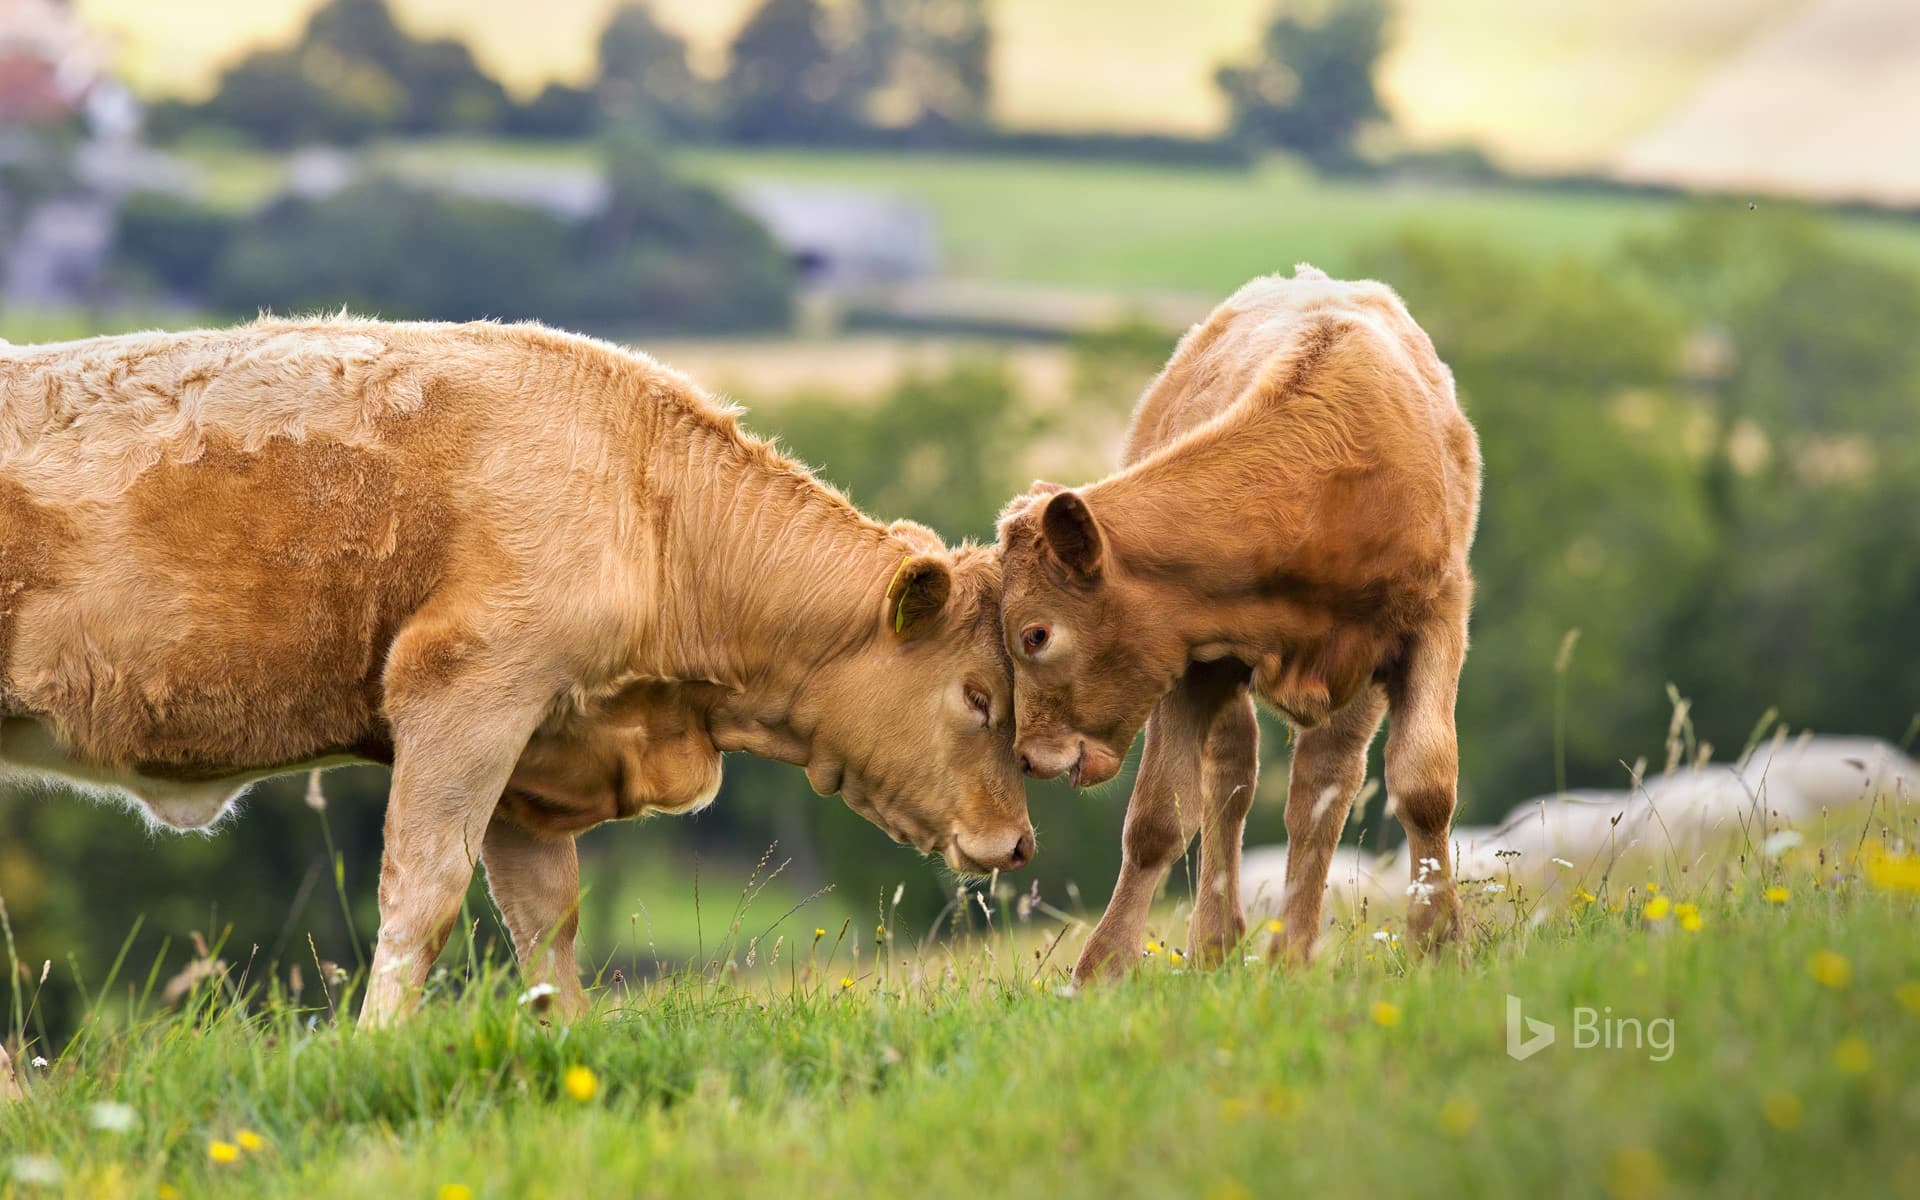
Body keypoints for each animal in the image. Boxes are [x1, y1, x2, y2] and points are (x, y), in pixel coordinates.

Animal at [0, 317, 1033, 1027]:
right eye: (979, 698)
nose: (1020, 843)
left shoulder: (536, 754)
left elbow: (547, 926)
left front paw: (570, 1050)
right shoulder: (468, 693)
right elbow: (421, 898)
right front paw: (376, 1047)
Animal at [994, 266, 1480, 982]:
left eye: (1036, 634)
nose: (1028, 757)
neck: (1320, 497)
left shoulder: (1437, 618)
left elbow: (1423, 783)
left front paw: (1440, 942)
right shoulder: (1190, 661)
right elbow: (1158, 819)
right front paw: (1102, 971)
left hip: (1356, 680)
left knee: (1321, 786)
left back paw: (1292, 952)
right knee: (1232, 780)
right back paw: (1218, 945)